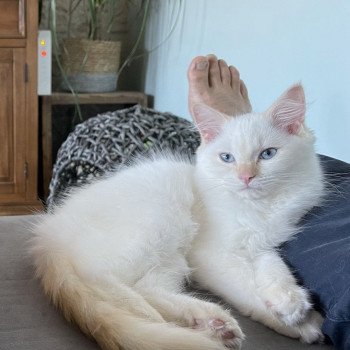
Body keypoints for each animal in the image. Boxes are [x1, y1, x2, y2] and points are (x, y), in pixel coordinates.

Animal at [31, 85, 324, 350]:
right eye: (226, 158)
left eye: (268, 154)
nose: (246, 177)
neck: (256, 209)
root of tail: (47, 238)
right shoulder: (212, 255)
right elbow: (246, 286)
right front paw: (303, 324)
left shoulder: (262, 244)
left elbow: (274, 268)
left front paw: (290, 302)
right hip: (158, 218)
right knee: (99, 279)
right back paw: (155, 316)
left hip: (170, 257)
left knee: (148, 287)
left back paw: (212, 322)